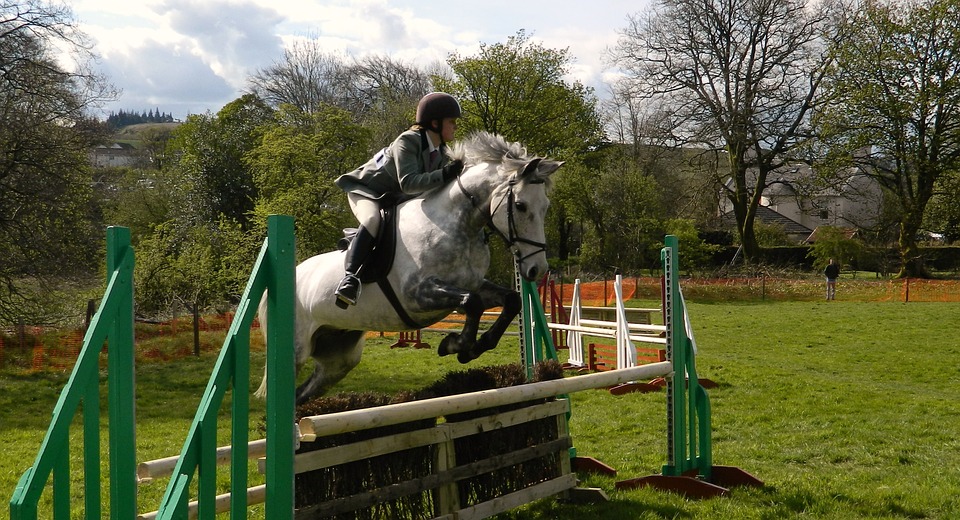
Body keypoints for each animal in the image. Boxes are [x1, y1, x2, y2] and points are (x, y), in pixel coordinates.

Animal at [255, 131, 564, 406]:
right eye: (520, 205)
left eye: (546, 206)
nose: (537, 269)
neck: (457, 224)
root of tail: (272, 287)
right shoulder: (416, 295)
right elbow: (471, 303)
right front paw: (457, 346)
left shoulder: (472, 283)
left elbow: (509, 300)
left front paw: (476, 345)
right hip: (295, 351)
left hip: (339, 357)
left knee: (303, 393)